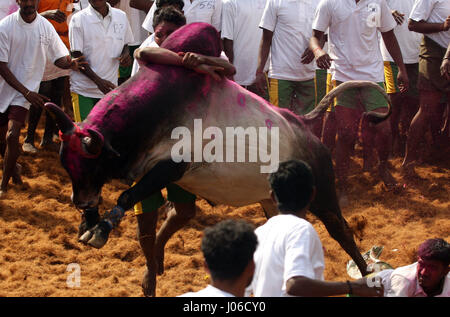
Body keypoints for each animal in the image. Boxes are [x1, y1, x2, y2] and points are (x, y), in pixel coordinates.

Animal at [45, 23, 390, 296]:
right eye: (68, 166)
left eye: (91, 164)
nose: (81, 202)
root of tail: (304, 126)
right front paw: (91, 224)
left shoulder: (172, 166)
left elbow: (126, 195)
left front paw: (100, 228)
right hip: (273, 201)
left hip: (323, 195)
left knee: (342, 231)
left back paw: (367, 278)